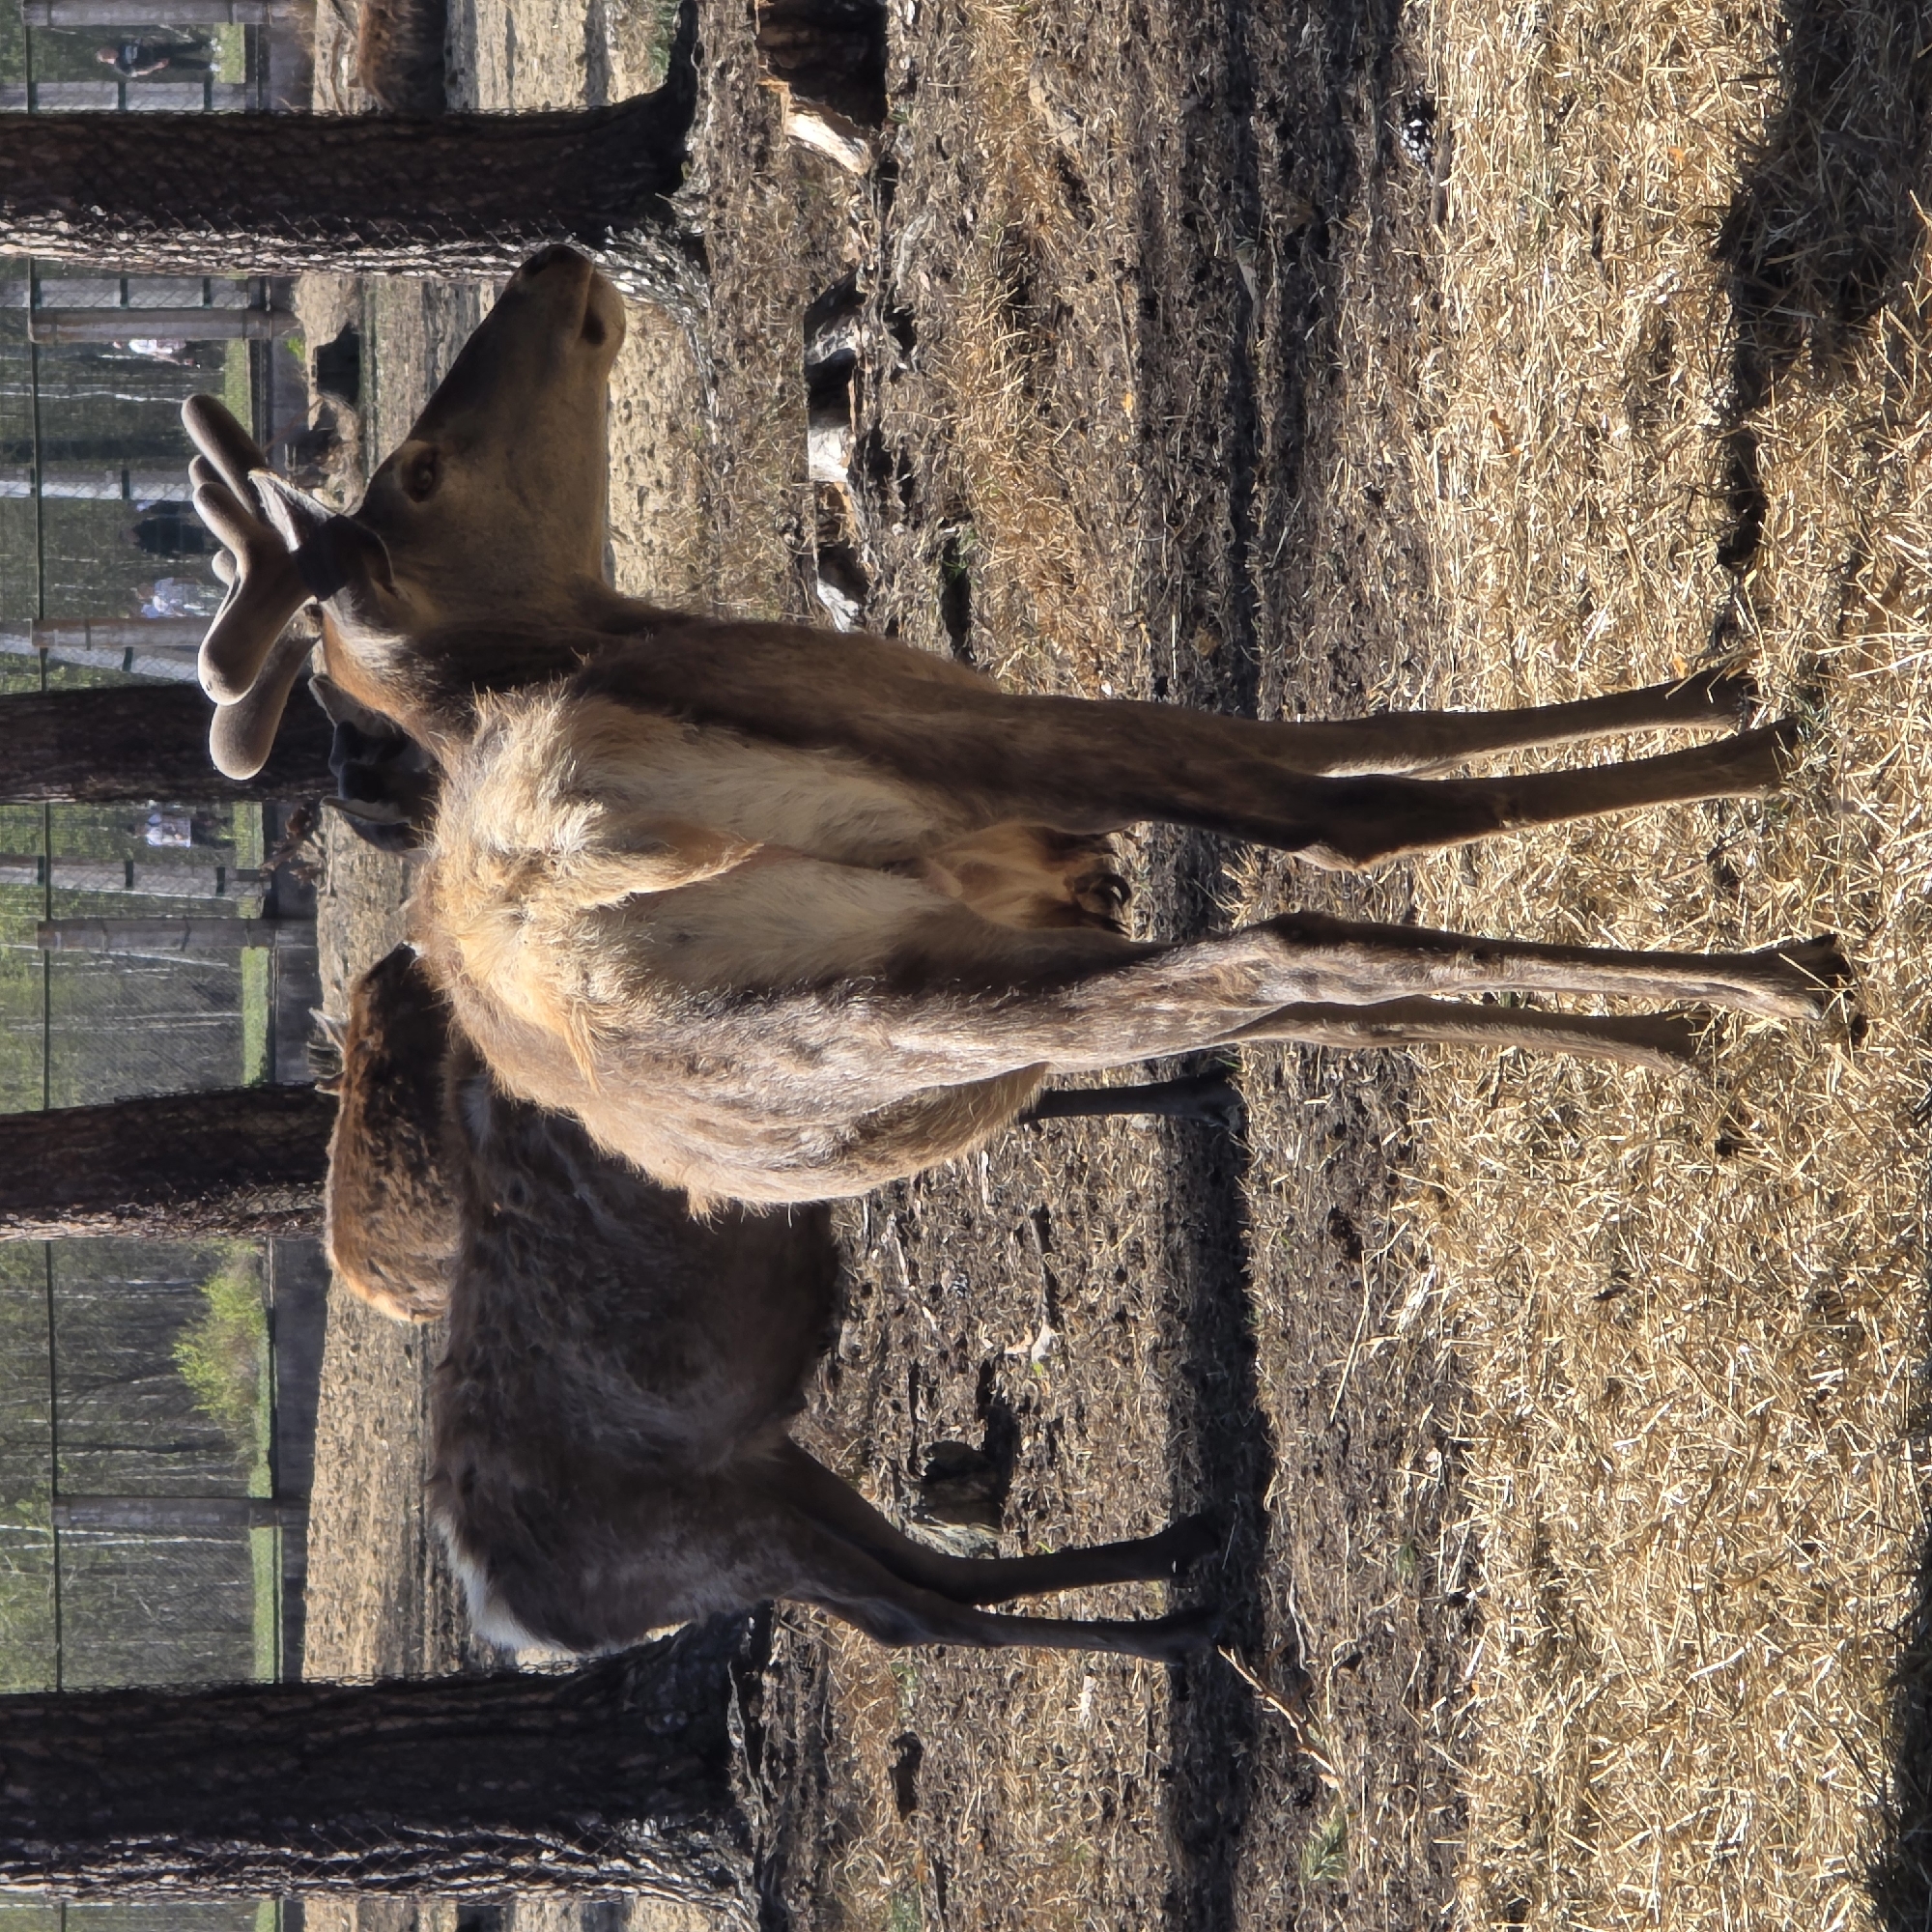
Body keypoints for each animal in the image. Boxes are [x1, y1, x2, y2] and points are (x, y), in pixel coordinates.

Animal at [182, 245, 1857, 1213]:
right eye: (419, 471)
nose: (553, 254)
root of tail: (573, 881)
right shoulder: (955, 730)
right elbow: (1342, 778)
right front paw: (1735, 720)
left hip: (903, 996)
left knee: (1283, 958)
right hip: (924, 837)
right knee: (1305, 894)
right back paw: (1775, 971)